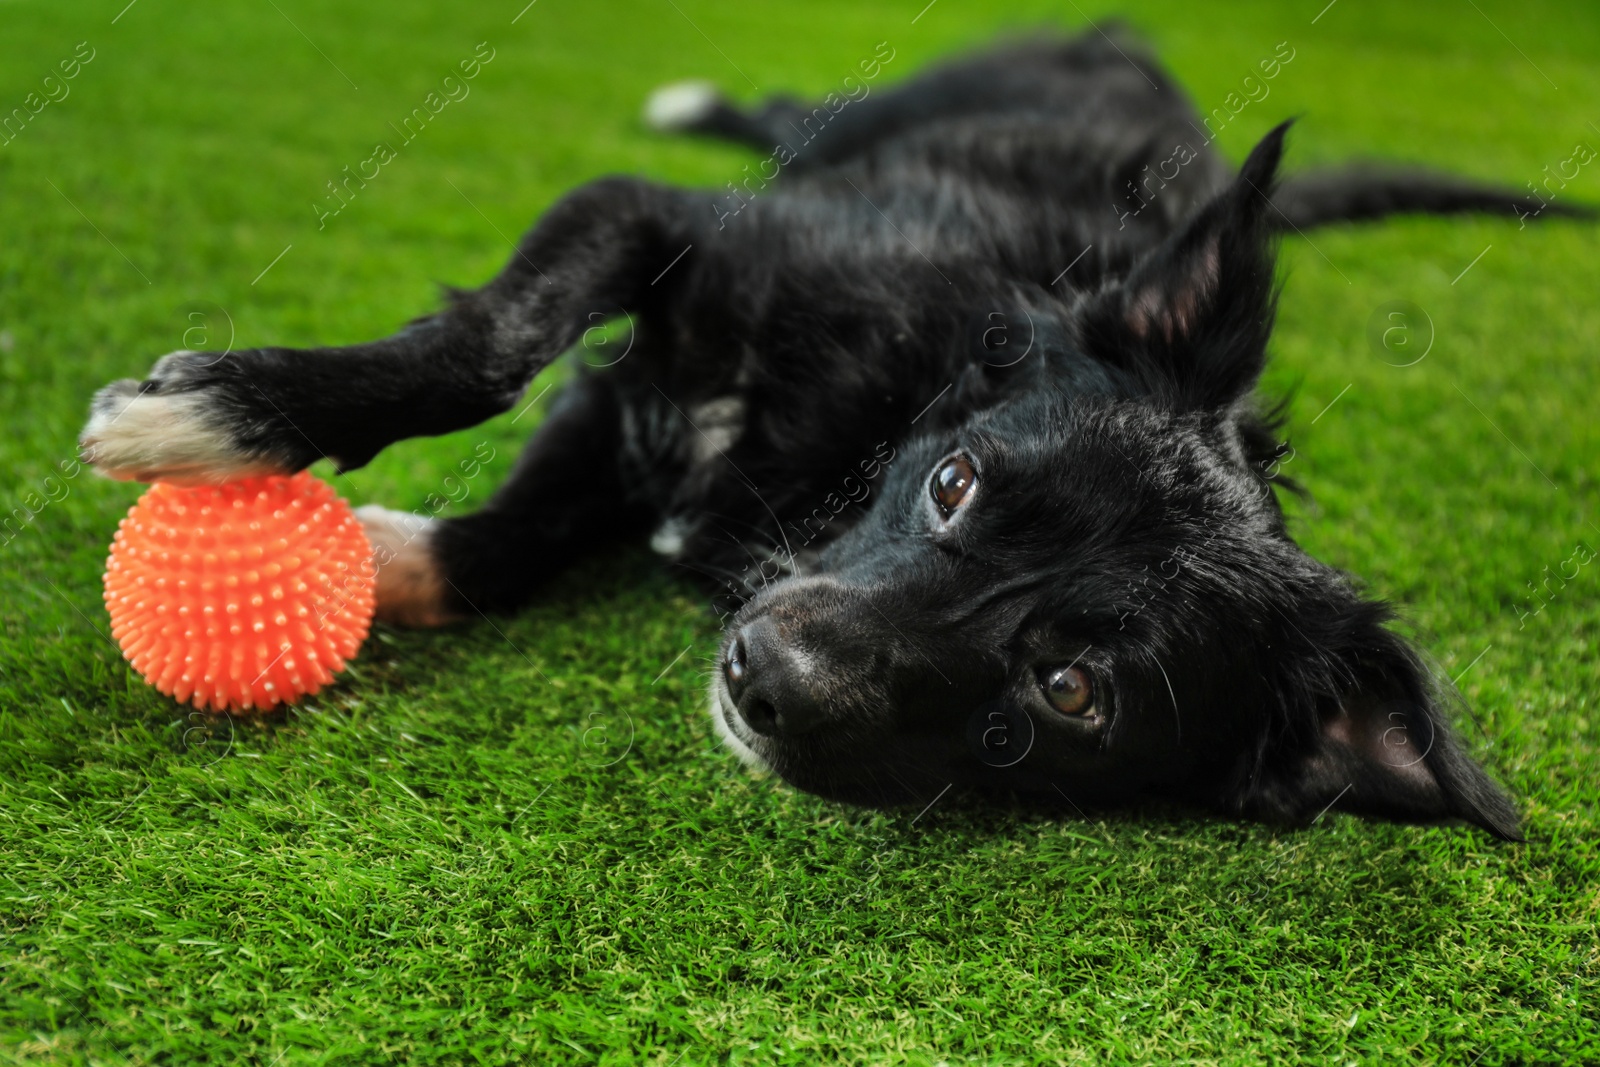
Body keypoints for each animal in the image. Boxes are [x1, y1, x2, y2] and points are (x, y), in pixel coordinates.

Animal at [78, 29, 1574, 838]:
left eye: (1071, 689)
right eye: (956, 482)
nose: (762, 676)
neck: (854, 438)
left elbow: (506, 545)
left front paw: (389, 564)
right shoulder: (654, 228)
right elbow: (490, 349)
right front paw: (222, 412)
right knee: (787, 118)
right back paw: (700, 99)